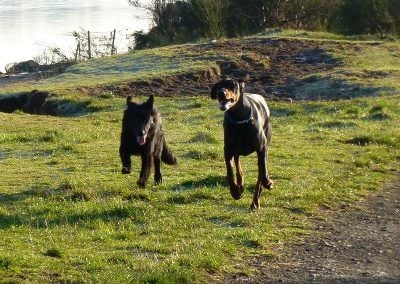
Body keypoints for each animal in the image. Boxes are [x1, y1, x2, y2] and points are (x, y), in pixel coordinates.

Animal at [211, 77, 274, 211]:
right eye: (219, 86)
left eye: (232, 85)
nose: (221, 93)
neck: (238, 119)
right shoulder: (227, 149)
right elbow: (230, 171)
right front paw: (235, 191)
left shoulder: (262, 147)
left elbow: (263, 170)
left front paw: (268, 182)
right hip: (236, 148)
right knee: (237, 161)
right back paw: (240, 184)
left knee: (259, 173)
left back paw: (255, 203)